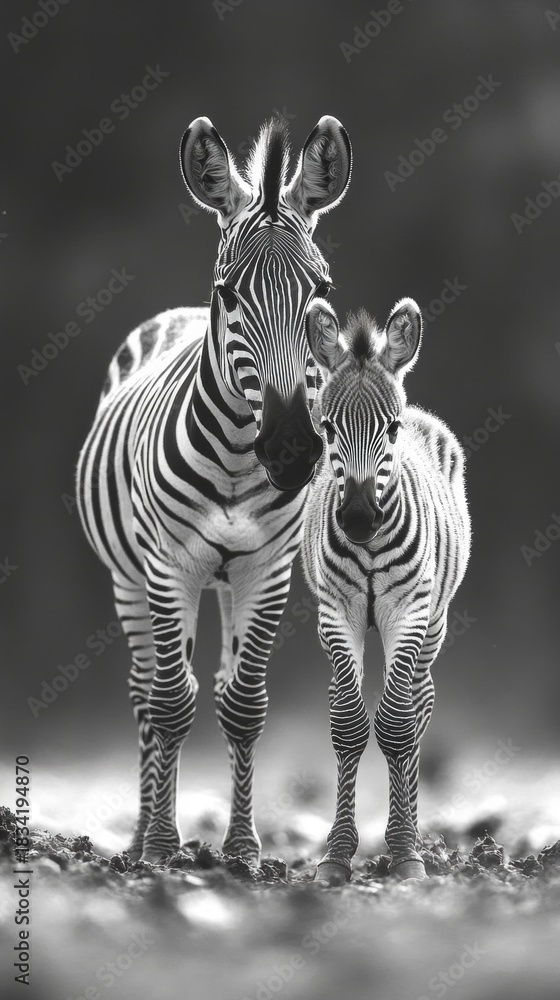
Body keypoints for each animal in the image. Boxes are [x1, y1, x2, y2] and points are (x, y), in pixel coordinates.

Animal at [76, 115, 352, 863]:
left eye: (323, 292)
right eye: (229, 294)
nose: (291, 450)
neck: (234, 455)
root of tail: (169, 314)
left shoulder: (268, 569)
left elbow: (244, 705)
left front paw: (243, 850)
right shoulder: (168, 565)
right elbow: (172, 703)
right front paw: (162, 849)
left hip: (226, 582)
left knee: (218, 683)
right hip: (131, 578)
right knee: (147, 694)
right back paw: (140, 838)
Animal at [302, 296, 471, 883]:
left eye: (391, 429)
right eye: (328, 428)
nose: (357, 518)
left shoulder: (409, 610)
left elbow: (398, 726)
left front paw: (405, 854)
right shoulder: (338, 611)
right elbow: (348, 725)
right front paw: (336, 855)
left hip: (435, 623)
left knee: (418, 706)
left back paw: (415, 836)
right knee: (342, 699)